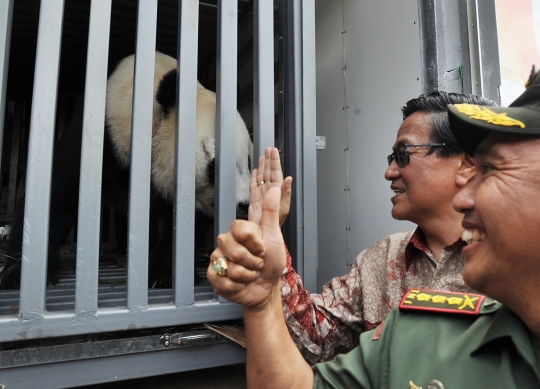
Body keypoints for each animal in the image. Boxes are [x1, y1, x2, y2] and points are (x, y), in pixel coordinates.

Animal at [0, 50, 253, 288]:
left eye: (249, 162)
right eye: (215, 166)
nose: (244, 204)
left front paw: (165, 274)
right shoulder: (100, 132)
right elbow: (59, 191)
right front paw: (20, 274)